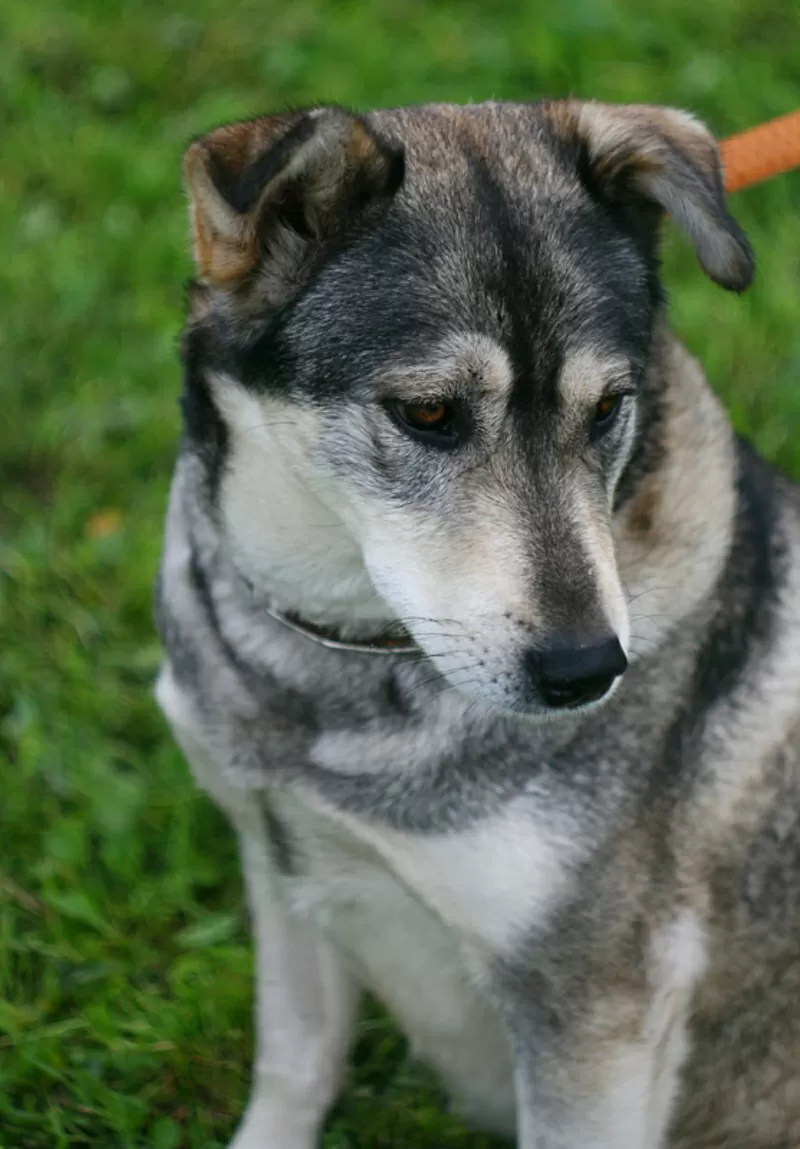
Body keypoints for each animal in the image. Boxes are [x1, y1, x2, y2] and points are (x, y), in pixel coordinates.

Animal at [155, 101, 800, 1149]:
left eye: (611, 407)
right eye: (427, 412)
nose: (588, 669)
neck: (335, 669)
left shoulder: (594, 1009)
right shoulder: (282, 864)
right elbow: (293, 1065)